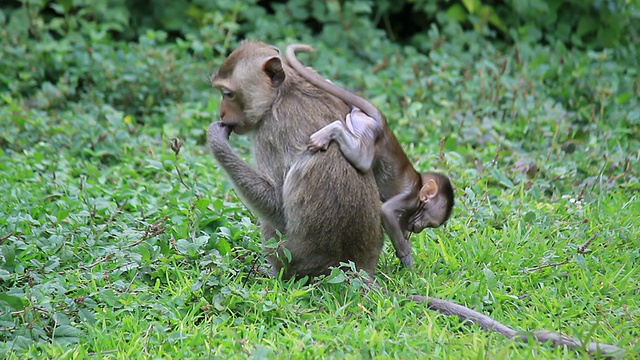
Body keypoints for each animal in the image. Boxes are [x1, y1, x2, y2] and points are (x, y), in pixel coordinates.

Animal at [284, 43, 456, 268]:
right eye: (429, 221)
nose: (418, 228)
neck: (419, 185)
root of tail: (380, 124)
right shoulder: (408, 199)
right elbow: (387, 213)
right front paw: (406, 259)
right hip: (367, 133)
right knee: (361, 158)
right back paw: (331, 131)